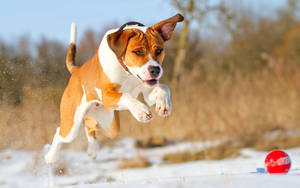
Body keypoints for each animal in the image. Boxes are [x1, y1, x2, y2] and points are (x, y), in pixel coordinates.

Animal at [44, 13, 184, 163]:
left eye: (159, 50)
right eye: (137, 52)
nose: (155, 70)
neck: (127, 73)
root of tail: (77, 70)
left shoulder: (147, 91)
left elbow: (163, 88)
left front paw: (163, 105)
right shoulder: (107, 95)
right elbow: (126, 95)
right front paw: (141, 111)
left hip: (109, 125)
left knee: (90, 125)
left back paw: (92, 149)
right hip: (72, 125)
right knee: (60, 133)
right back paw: (51, 156)